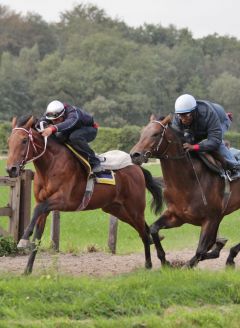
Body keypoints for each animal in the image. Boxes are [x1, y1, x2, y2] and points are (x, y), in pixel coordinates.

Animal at [6, 115, 163, 274]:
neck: (51, 165)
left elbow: (38, 209)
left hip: (134, 208)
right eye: (9, 141)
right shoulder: (44, 206)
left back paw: (149, 264)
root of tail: (137, 167)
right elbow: (37, 237)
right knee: (145, 229)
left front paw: (23, 239)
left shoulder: (63, 201)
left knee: (144, 232)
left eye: (24, 140)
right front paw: (27, 270)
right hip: (118, 209)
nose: (11, 169)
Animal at [131, 115, 240, 270]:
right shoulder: (177, 217)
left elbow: (201, 249)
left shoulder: (212, 218)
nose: (134, 155)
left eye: (156, 134)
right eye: (142, 133)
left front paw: (186, 265)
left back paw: (230, 256)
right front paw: (165, 262)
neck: (188, 182)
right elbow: (153, 229)